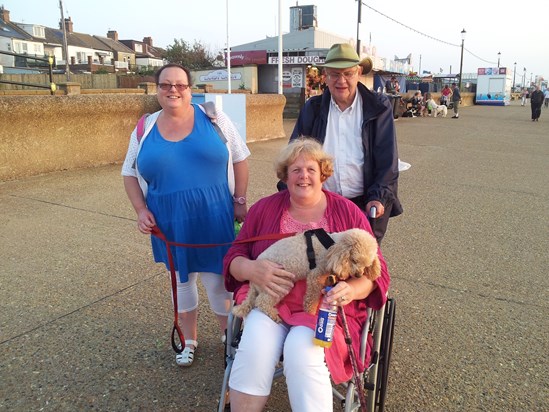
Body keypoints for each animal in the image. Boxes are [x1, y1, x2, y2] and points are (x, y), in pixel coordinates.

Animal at [232, 229, 382, 322]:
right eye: (354, 260)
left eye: (367, 265)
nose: (359, 275)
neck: (332, 246)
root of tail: (253, 282)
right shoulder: (315, 276)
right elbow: (311, 299)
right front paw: (310, 314)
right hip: (279, 284)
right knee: (261, 301)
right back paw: (274, 315)